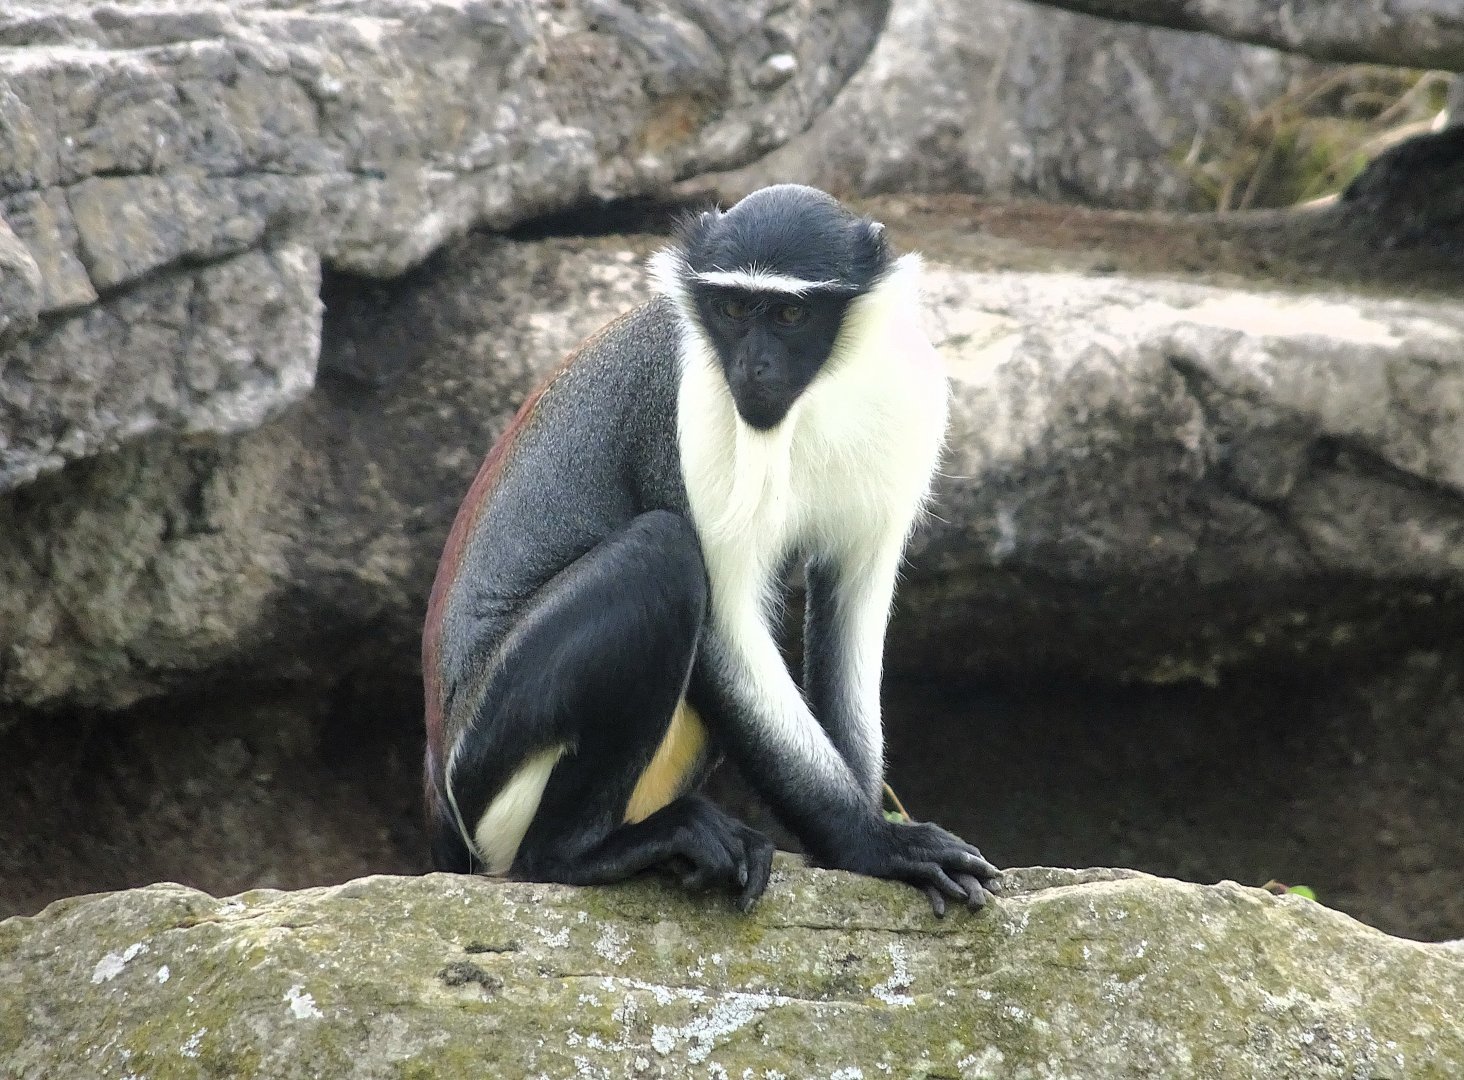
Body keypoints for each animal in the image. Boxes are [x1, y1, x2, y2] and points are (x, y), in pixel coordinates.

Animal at [422, 184, 999, 915]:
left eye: (788, 313)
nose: (752, 368)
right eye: (731, 308)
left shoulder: (907, 399)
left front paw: (853, 846)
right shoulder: (689, 409)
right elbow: (725, 624)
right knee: (660, 557)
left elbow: (851, 611)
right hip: (491, 761)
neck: (817, 392)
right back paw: (583, 853)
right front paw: (874, 844)